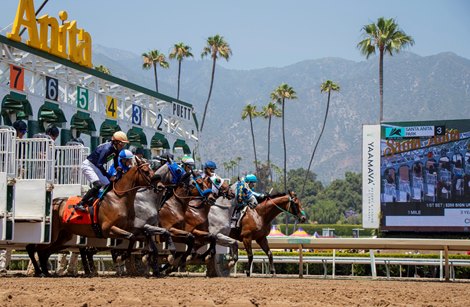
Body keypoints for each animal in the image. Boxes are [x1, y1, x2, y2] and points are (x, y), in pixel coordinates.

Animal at [28, 159, 160, 276]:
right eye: (146, 171)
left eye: (151, 169)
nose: (159, 186)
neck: (118, 198)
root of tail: (54, 203)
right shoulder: (107, 229)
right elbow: (131, 236)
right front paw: (122, 256)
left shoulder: (128, 226)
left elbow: (142, 235)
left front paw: (149, 254)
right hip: (53, 233)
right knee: (35, 249)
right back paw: (40, 272)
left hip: (63, 237)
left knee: (45, 252)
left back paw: (45, 271)